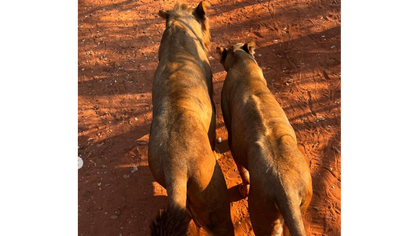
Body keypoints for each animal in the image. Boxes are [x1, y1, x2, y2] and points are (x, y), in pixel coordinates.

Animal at [218, 41, 314, 235]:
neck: (241, 61)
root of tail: (287, 192)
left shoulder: (232, 139)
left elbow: (242, 170)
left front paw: (243, 189)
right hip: (301, 204)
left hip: (261, 213)